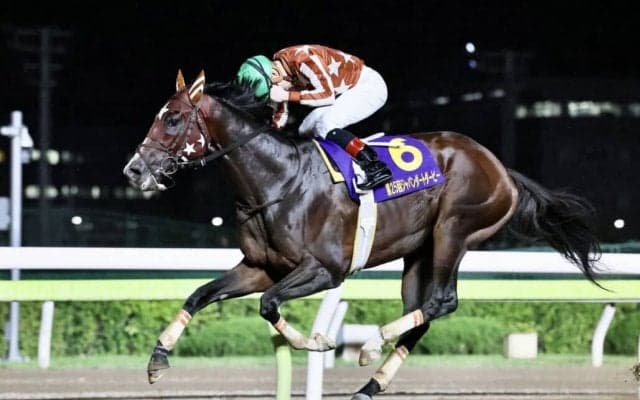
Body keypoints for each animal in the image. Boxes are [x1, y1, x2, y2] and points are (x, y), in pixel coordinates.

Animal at [123, 70, 601, 399]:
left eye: (173, 119)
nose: (134, 170)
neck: (279, 180)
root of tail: (501, 168)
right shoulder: (260, 267)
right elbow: (200, 294)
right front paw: (157, 359)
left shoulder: (326, 269)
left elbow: (268, 304)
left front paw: (315, 340)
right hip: (419, 252)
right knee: (422, 312)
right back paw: (371, 385)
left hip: (454, 230)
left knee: (442, 301)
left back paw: (371, 346)